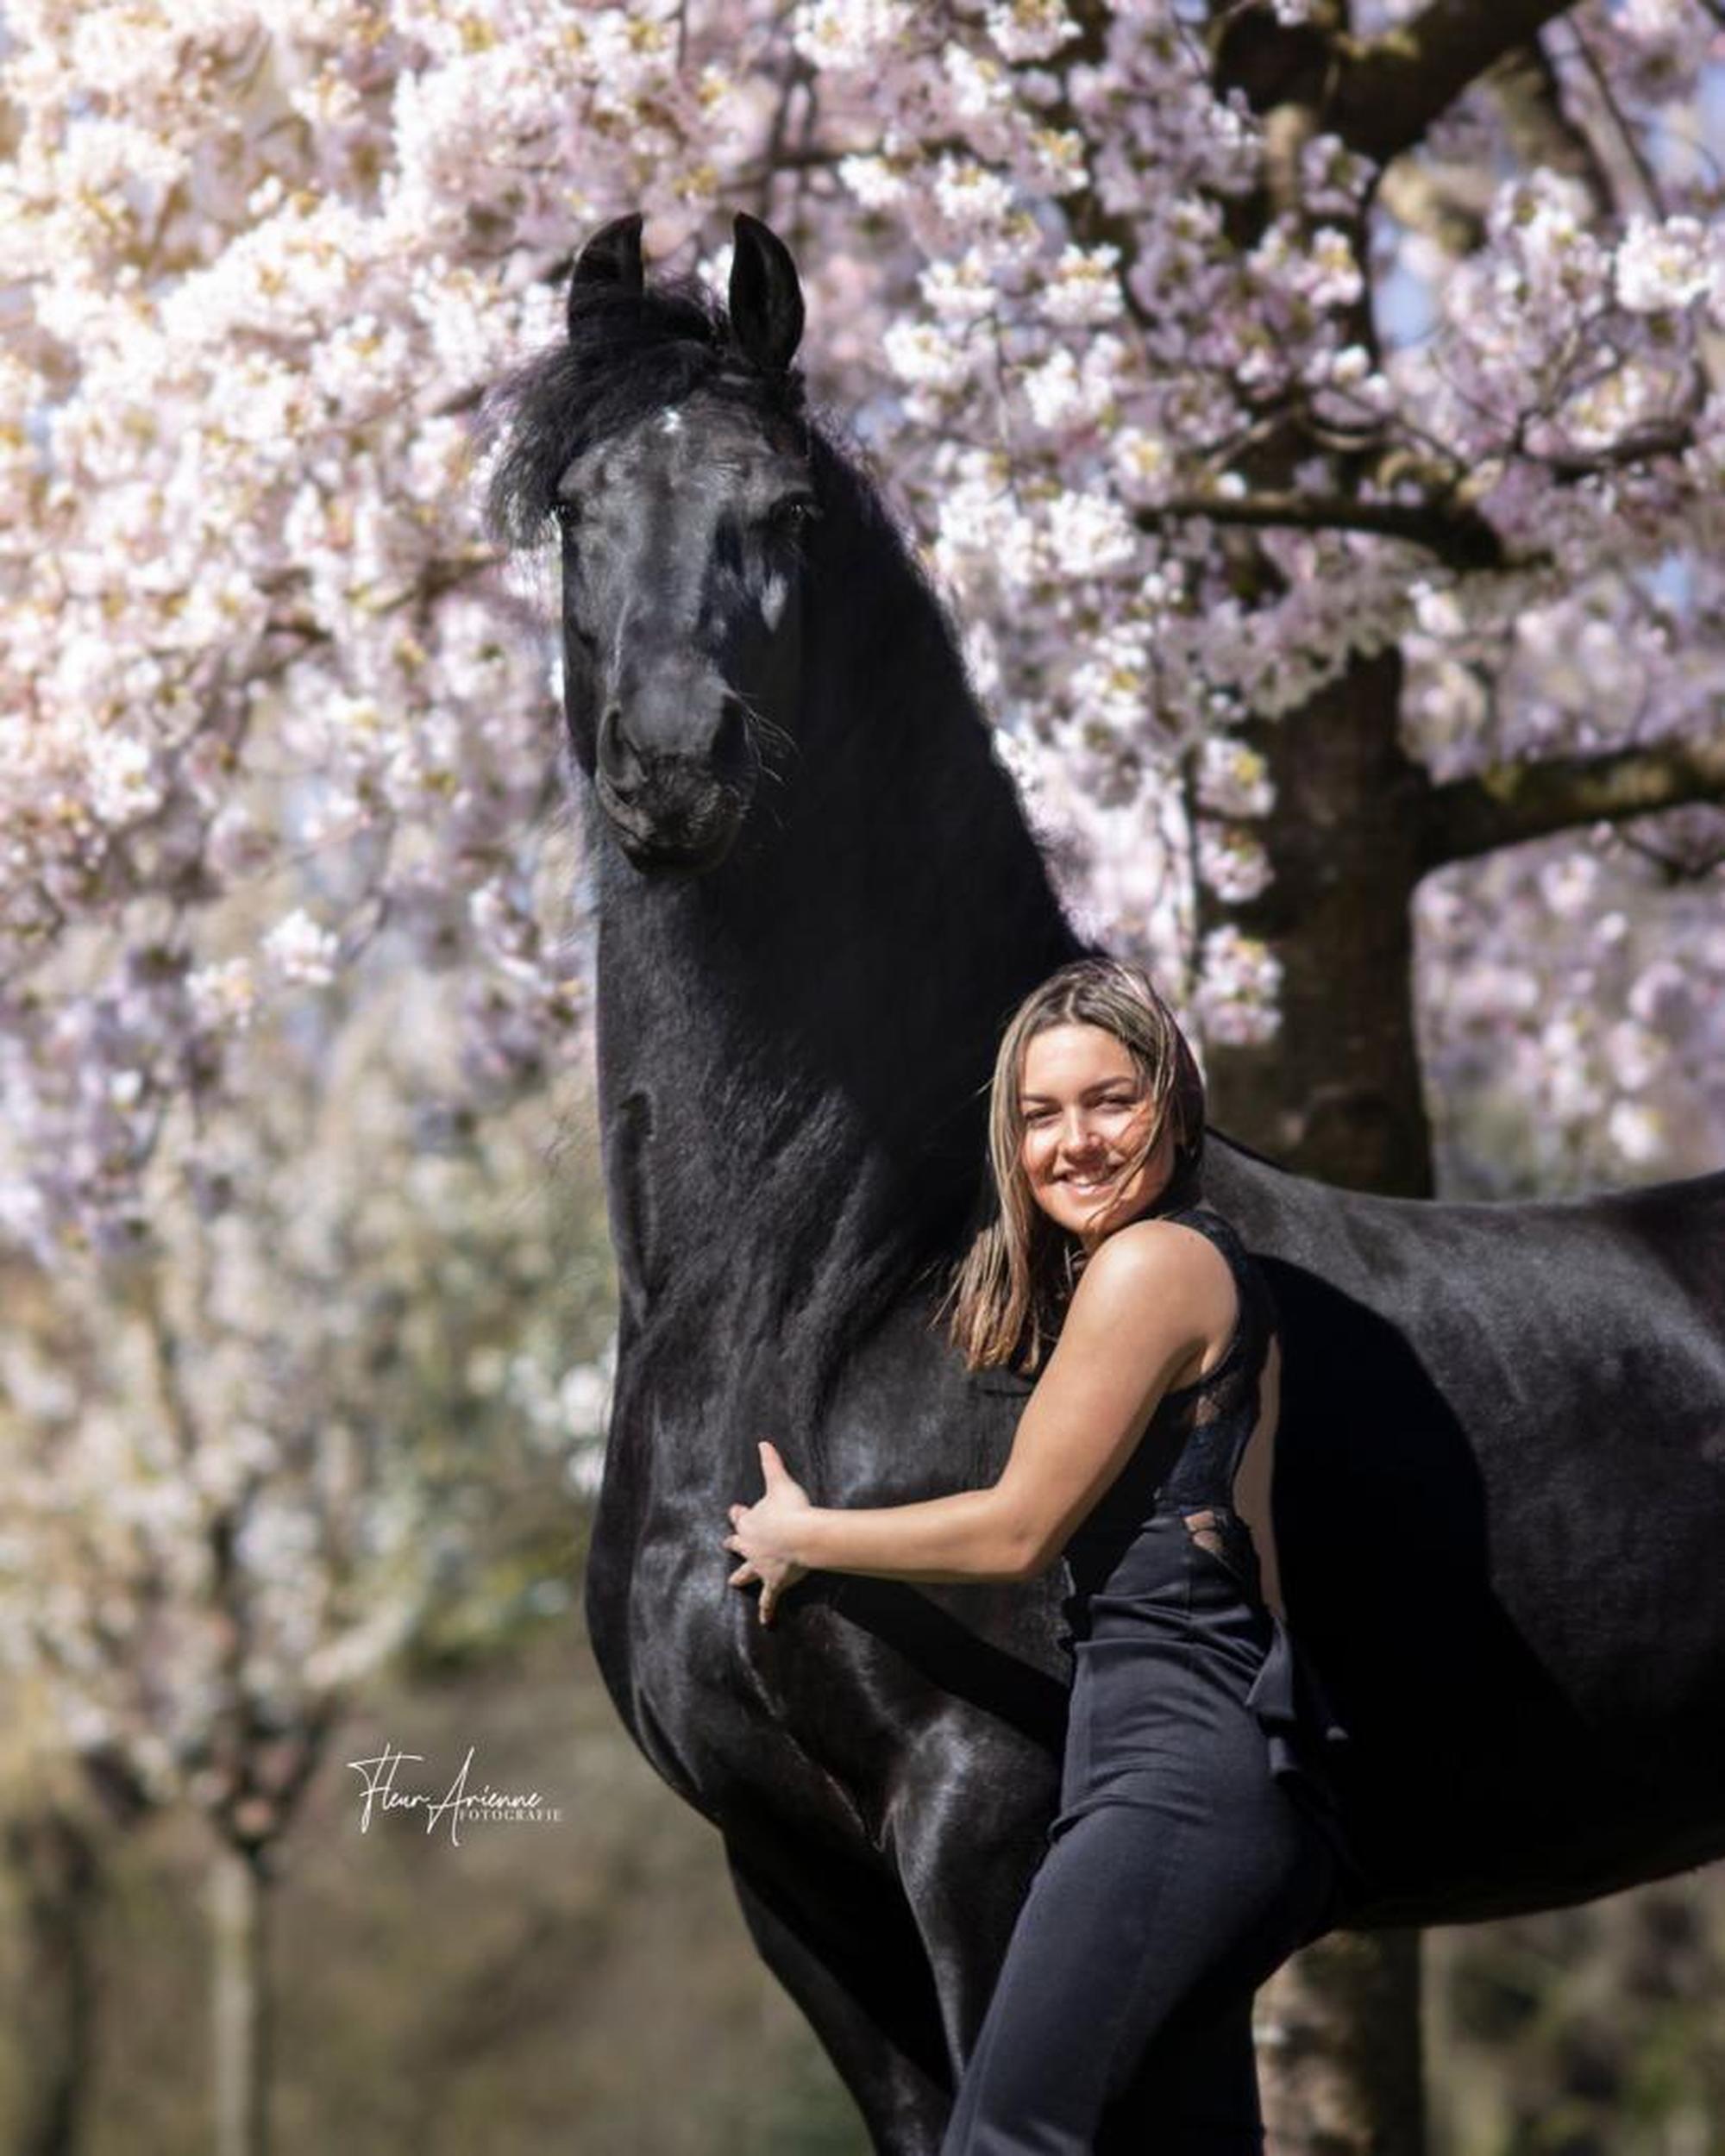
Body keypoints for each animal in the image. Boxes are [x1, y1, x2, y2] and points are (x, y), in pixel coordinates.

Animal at [485, 218, 1725, 2156]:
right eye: (574, 506)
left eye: (785, 510)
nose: (675, 760)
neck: (837, 1289)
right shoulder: (793, 1886)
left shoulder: (987, 1827)